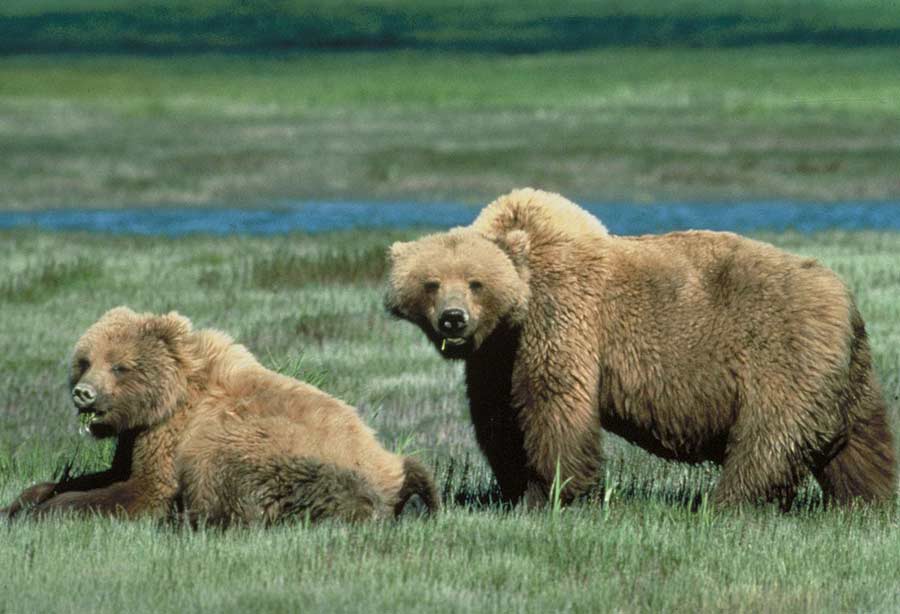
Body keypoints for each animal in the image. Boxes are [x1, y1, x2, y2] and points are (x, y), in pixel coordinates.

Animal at [2, 308, 440, 524]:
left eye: (120, 366)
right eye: (85, 361)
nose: (84, 393)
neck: (169, 398)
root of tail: (393, 468)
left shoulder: (173, 434)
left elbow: (144, 489)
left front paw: (50, 510)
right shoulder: (137, 435)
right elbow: (108, 473)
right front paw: (25, 500)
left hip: (285, 452)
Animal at [384, 188, 896, 510]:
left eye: (476, 282)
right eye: (431, 283)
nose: (454, 318)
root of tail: (844, 297)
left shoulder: (561, 319)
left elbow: (554, 405)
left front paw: (554, 493)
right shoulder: (495, 355)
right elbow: (498, 419)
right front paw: (515, 488)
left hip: (781, 351)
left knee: (770, 437)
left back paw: (725, 504)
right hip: (846, 371)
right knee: (860, 440)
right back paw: (867, 502)